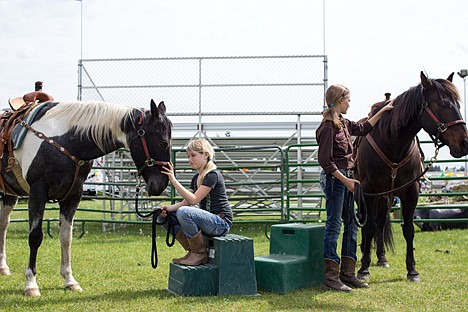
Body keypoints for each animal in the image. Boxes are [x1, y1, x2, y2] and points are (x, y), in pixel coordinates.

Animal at [354, 72, 468, 282]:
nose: (464, 143)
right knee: (366, 223)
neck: (392, 142)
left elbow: (408, 229)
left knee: (380, 222)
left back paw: (381, 258)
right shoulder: (368, 191)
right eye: (443, 104)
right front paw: (364, 269)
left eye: (457, 104)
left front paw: (412, 270)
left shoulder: (410, 192)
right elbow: (368, 227)